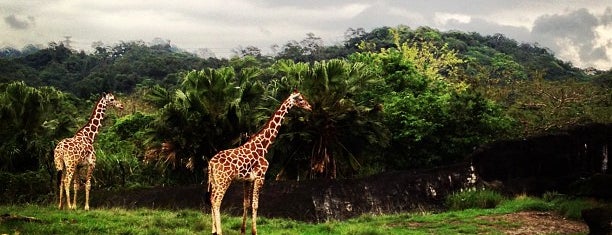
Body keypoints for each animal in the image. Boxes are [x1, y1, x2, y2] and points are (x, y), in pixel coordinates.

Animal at [207, 90, 310, 235]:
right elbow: (255, 204)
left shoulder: (247, 180)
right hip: (224, 180)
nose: (310, 107)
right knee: (217, 202)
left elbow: (246, 203)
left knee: (211, 200)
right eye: (300, 99)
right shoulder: (260, 177)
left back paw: (213, 230)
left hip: (215, 181)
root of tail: (211, 163)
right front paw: (254, 231)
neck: (263, 146)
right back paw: (219, 231)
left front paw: (243, 230)